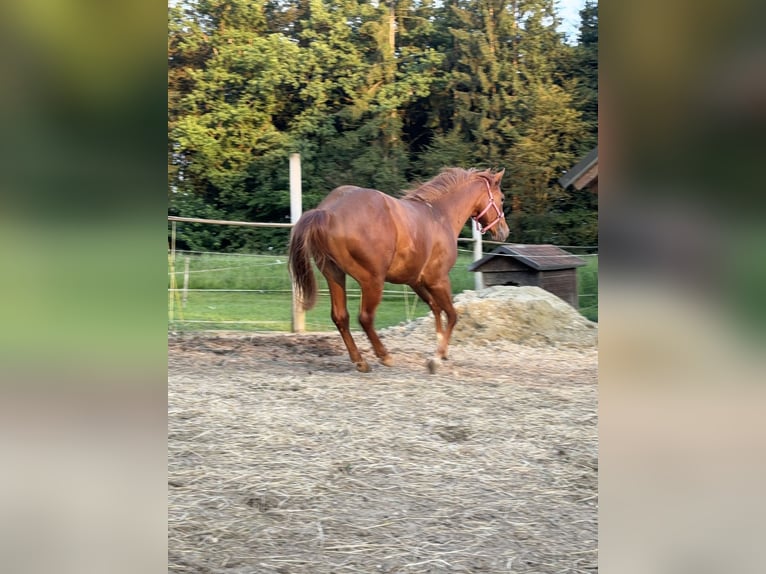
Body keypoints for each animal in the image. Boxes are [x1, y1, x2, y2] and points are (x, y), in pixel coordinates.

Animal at [288, 166, 510, 374]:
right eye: (502, 198)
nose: (504, 231)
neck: (440, 215)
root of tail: (329, 212)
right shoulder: (438, 279)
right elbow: (452, 314)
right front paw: (436, 358)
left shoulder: (415, 281)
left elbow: (435, 309)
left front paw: (442, 349)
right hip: (372, 281)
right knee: (365, 318)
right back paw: (384, 356)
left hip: (334, 275)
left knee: (340, 317)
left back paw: (360, 361)